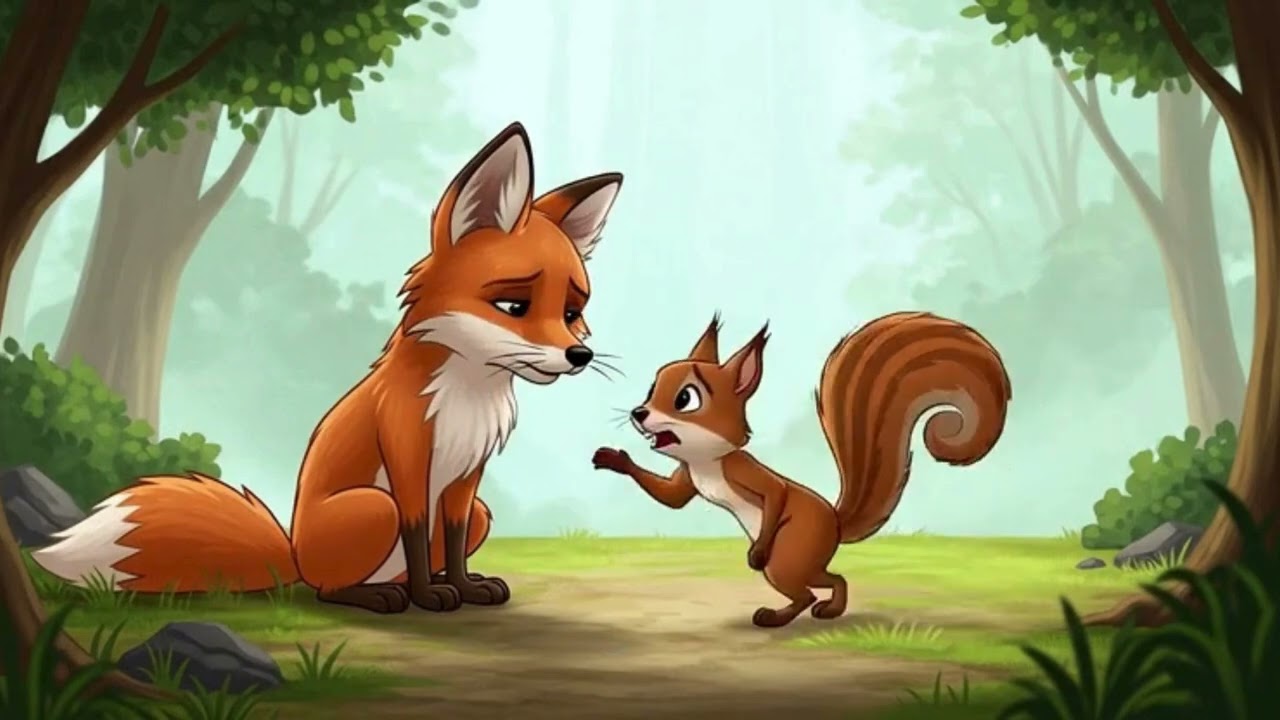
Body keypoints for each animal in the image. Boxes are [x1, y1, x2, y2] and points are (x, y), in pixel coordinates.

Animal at [33, 122, 624, 614]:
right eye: (513, 307)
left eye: (571, 313)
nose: (579, 356)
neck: (467, 392)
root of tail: (292, 552)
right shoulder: (408, 457)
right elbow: (415, 531)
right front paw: (431, 598)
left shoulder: (465, 478)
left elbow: (453, 541)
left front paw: (464, 585)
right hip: (373, 508)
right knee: (328, 587)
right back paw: (385, 596)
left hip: (480, 512)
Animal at [592, 312, 1012, 627]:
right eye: (651, 389)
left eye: (686, 398)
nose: (638, 413)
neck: (705, 460)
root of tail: (836, 523)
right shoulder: (687, 479)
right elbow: (673, 500)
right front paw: (614, 459)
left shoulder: (745, 473)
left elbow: (775, 493)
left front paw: (756, 552)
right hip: (800, 561)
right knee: (829, 579)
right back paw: (827, 608)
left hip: (788, 554)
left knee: (808, 588)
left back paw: (780, 616)